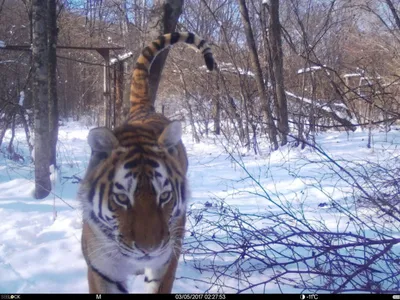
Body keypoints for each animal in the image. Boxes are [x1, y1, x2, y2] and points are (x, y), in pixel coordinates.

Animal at [76, 32, 214, 292]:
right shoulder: (102, 271)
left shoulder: (165, 263)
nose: (148, 250)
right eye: (121, 198)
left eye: (165, 196)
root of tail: (144, 109)